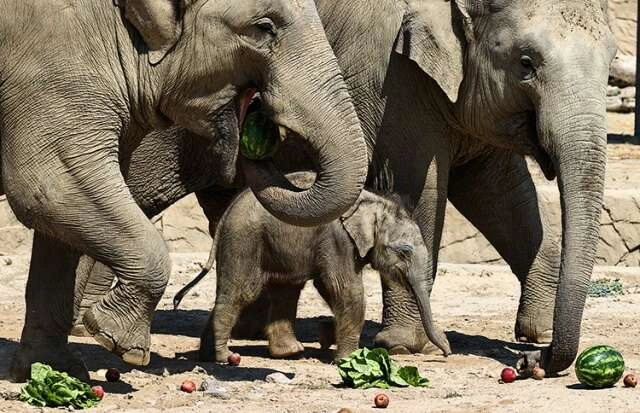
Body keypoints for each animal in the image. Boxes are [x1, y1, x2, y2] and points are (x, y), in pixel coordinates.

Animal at [0, 0, 368, 384]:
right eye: (263, 27)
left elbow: (59, 226)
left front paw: (55, 371)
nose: (258, 114)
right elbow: (49, 188)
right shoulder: (54, 62)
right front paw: (121, 344)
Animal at [195, 171, 450, 360]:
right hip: (245, 239)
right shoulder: (338, 239)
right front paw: (347, 358)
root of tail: (228, 211)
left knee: (284, 290)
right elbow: (344, 289)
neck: (374, 202)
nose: (446, 352)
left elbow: (329, 288)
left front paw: (329, 336)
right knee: (242, 291)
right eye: (405, 251)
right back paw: (223, 356)